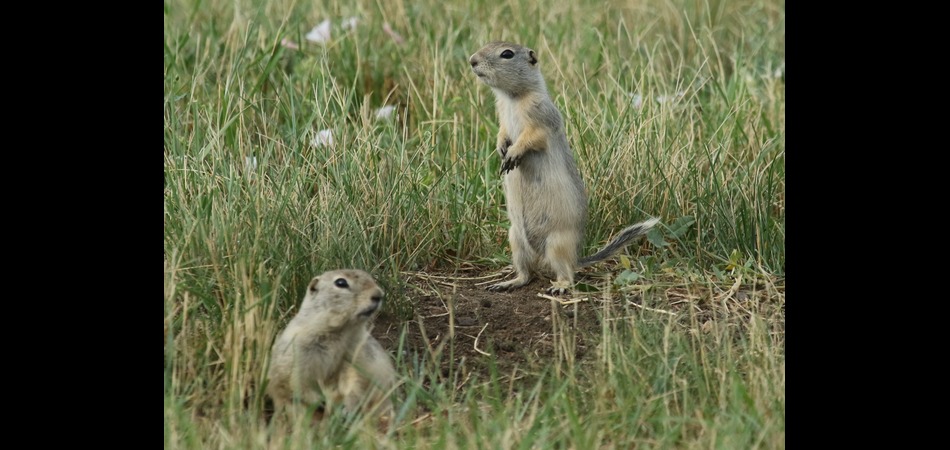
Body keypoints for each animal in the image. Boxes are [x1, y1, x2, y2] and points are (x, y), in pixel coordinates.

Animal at [266, 269, 395, 425]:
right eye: (341, 282)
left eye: (370, 277)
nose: (378, 294)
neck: (341, 330)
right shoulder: (298, 351)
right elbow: (295, 381)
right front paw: (321, 403)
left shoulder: (357, 353)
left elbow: (357, 379)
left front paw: (347, 407)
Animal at [469, 41, 659, 295]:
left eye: (507, 54)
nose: (472, 60)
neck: (512, 98)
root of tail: (575, 257)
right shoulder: (502, 115)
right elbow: (502, 131)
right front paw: (501, 148)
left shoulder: (541, 117)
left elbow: (532, 137)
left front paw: (513, 153)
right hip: (515, 240)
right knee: (526, 275)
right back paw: (506, 283)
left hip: (557, 244)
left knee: (567, 274)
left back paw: (558, 287)